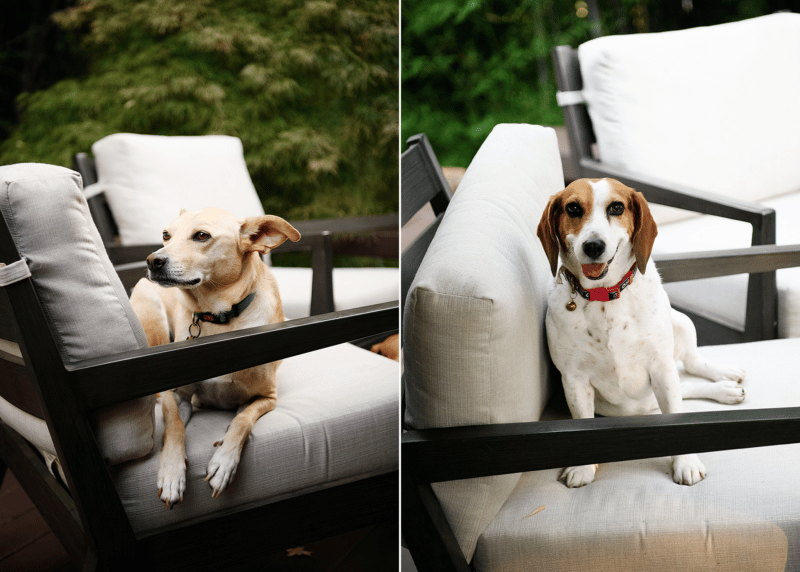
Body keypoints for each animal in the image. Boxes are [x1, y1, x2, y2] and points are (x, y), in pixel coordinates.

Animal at [131, 208, 300, 508]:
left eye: (202, 235)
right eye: (166, 235)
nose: (153, 260)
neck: (218, 319)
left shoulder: (267, 397)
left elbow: (242, 422)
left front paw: (224, 461)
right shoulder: (177, 396)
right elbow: (174, 426)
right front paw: (172, 473)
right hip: (154, 318)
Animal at [536, 178, 748, 488]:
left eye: (616, 207)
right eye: (573, 208)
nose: (593, 246)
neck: (604, 296)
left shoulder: (661, 367)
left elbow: (677, 418)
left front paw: (685, 462)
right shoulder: (574, 380)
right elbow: (582, 420)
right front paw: (584, 467)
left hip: (681, 324)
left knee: (692, 367)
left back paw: (724, 379)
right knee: (686, 387)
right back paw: (724, 389)